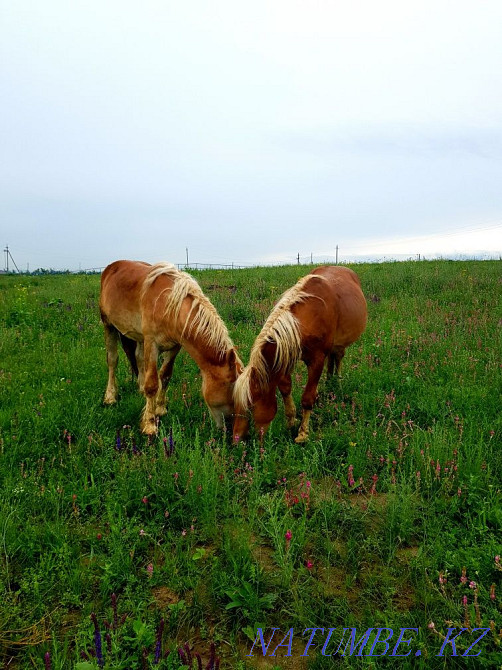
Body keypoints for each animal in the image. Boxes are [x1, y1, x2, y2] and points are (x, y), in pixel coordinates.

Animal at [99, 260, 243, 435]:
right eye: (232, 394)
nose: (232, 430)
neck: (169, 305)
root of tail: (111, 267)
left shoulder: (175, 346)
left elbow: (165, 376)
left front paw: (160, 409)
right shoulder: (152, 344)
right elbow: (152, 384)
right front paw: (149, 424)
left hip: (139, 336)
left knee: (138, 357)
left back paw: (140, 389)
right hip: (108, 325)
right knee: (112, 360)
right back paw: (110, 397)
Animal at [233, 266, 367, 443]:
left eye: (250, 407)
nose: (235, 440)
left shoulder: (316, 361)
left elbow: (308, 398)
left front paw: (303, 433)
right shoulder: (285, 355)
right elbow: (285, 388)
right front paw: (291, 421)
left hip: (340, 344)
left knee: (338, 357)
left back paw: (336, 382)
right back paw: (329, 383)